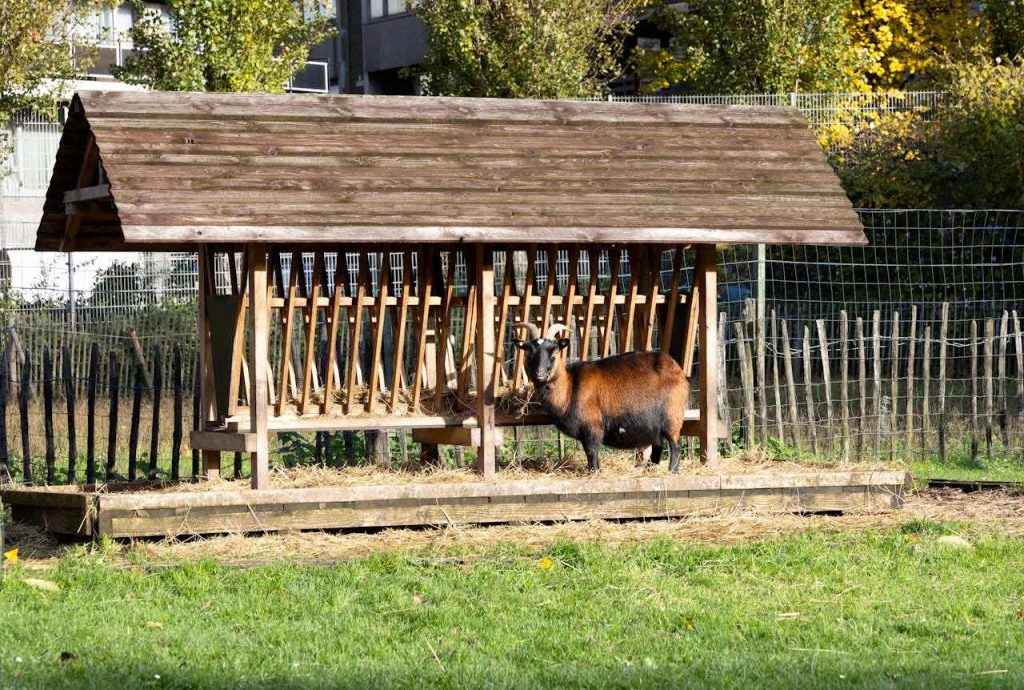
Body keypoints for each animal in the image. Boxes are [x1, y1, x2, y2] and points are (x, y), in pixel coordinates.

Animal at [516, 319, 692, 470]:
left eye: (554, 352)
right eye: (529, 352)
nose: (539, 374)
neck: (570, 387)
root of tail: (677, 369)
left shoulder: (592, 426)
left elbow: (592, 452)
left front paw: (594, 472)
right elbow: (590, 453)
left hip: (672, 416)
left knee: (675, 445)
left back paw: (672, 470)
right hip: (658, 426)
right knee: (658, 446)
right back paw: (650, 469)